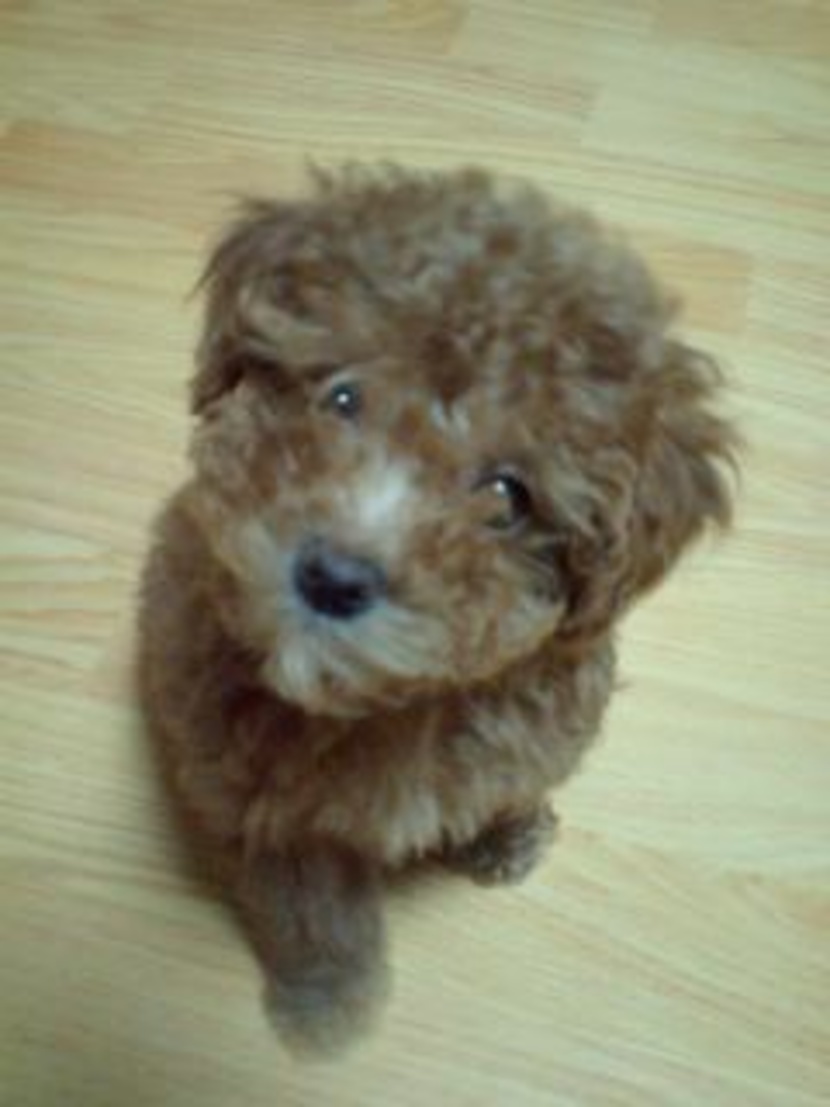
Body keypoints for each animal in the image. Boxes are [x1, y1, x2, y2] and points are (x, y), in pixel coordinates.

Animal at [139, 165, 734, 1054]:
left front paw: (508, 835)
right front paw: (331, 1006)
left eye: (507, 495)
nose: (334, 576)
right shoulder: (268, 813)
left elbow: (511, 783)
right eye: (341, 397)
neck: (379, 702)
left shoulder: (538, 728)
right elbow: (311, 913)